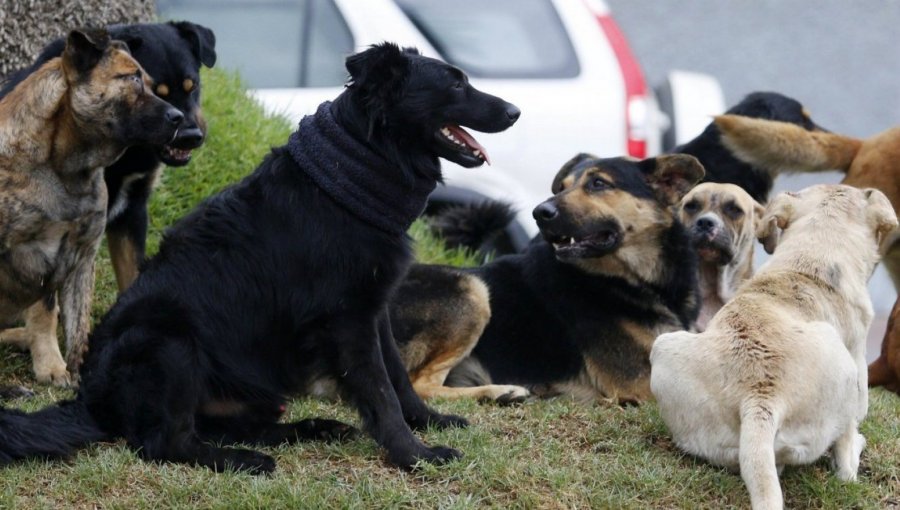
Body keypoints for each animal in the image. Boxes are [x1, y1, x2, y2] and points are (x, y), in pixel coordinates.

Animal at [0, 21, 216, 290]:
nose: (191, 136)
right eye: (156, 91)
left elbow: (132, 275)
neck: (127, 157)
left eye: (192, 85)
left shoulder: (131, 212)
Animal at [652, 184, 896, 510]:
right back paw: (856, 446)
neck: (812, 261)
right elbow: (846, 454)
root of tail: (759, 400)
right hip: (839, 359)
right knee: (845, 466)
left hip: (665, 346)